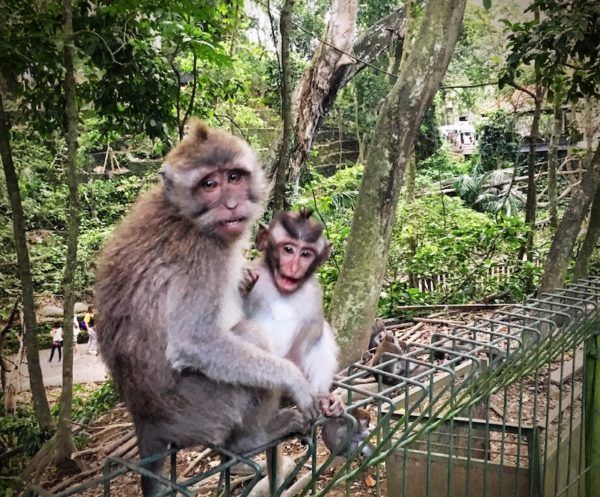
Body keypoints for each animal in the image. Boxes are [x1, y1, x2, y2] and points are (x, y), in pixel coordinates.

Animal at [95, 120, 318, 496]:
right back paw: (252, 438)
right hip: (201, 413)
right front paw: (294, 380)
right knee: (251, 337)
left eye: (234, 177)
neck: (185, 215)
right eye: (209, 184)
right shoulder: (203, 256)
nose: (231, 204)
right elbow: (194, 342)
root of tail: (145, 419)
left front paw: (246, 278)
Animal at [241, 207, 340, 416]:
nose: (294, 268)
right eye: (288, 249)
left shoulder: (313, 291)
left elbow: (314, 330)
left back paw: (323, 397)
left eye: (306, 254)